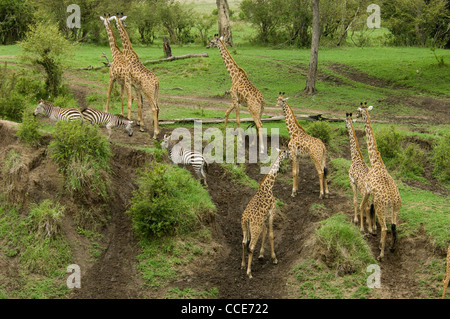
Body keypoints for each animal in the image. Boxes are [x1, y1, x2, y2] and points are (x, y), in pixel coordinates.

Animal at [241, 149, 290, 278]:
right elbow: (271, 234)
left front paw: (261, 255)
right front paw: (274, 258)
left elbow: (265, 231)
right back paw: (249, 272)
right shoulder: (272, 211)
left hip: (245, 228)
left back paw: (243, 265)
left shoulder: (263, 218)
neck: (268, 186)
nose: (293, 155)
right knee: (251, 247)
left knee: (244, 243)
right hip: (255, 229)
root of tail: (246, 219)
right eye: (288, 152)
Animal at [356, 103, 402, 262]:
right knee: (394, 226)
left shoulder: (368, 189)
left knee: (385, 228)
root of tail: (393, 199)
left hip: (383, 208)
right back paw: (392, 247)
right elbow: (368, 208)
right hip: (396, 208)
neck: (375, 162)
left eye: (358, 111)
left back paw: (381, 254)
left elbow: (363, 205)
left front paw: (365, 228)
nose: (355, 116)